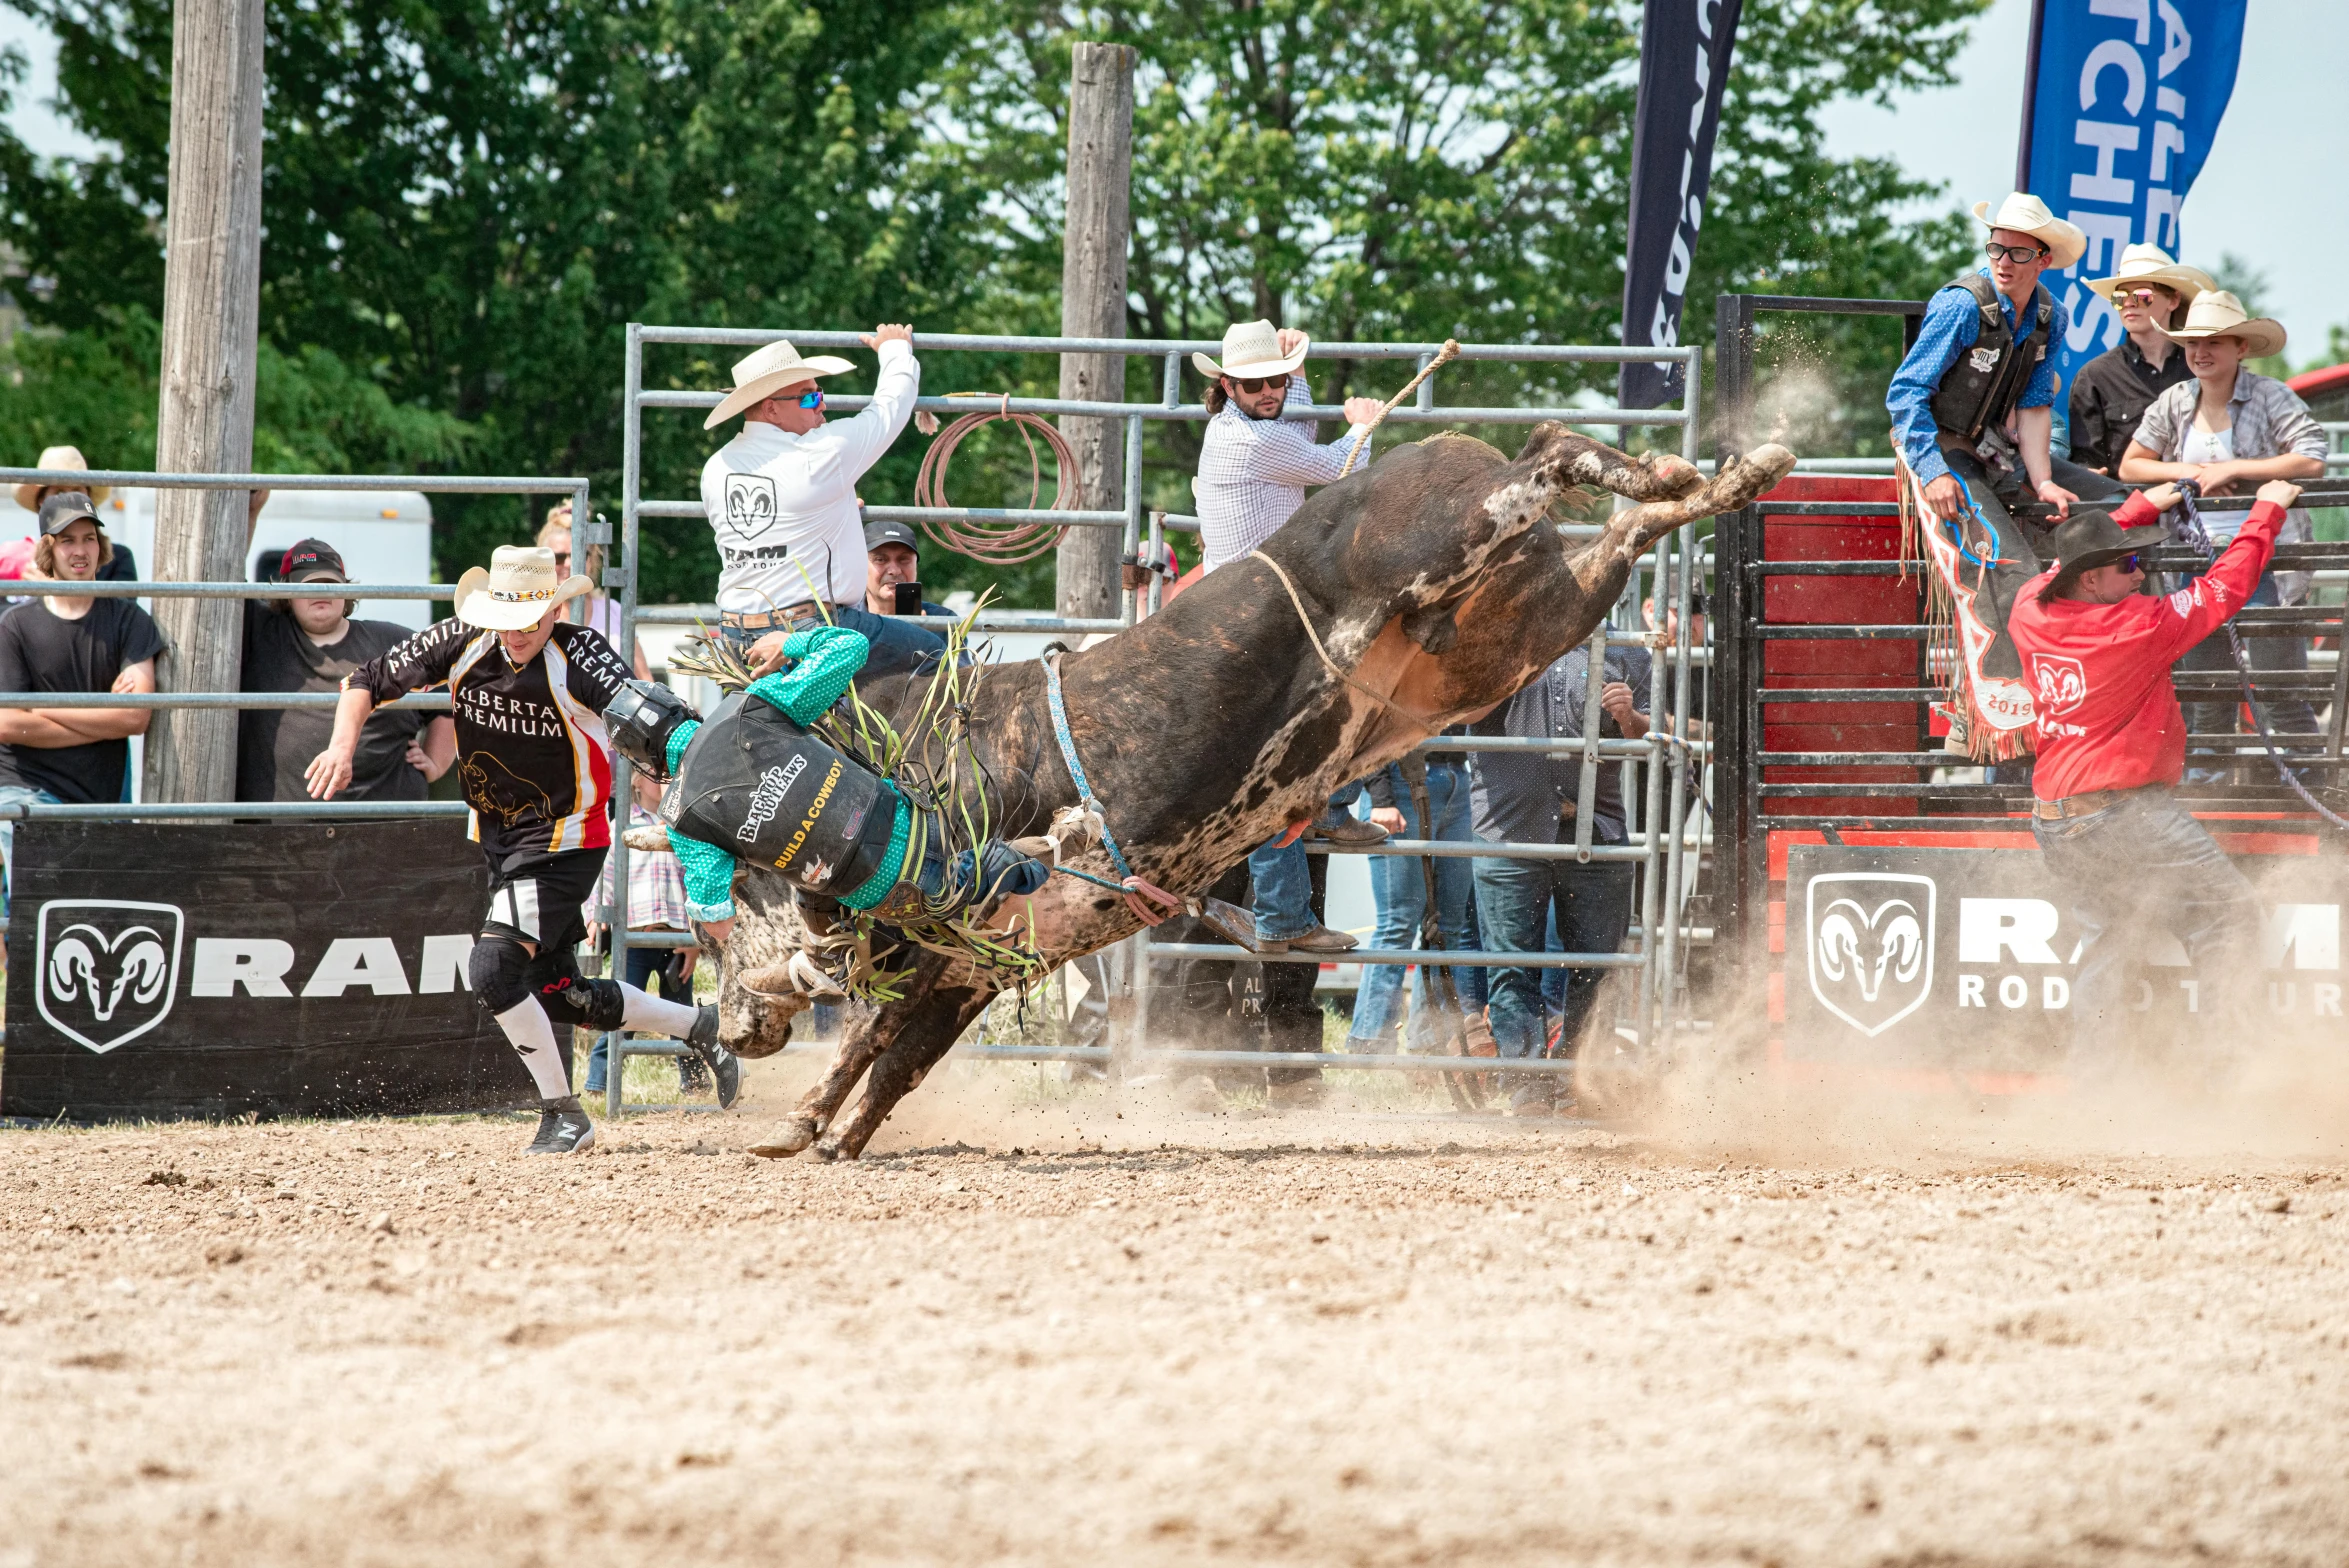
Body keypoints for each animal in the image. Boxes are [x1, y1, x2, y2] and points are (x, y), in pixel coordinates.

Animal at [704, 422, 1785, 1159]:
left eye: (716, 926)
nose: (735, 1029)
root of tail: (1428, 450)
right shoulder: (973, 963)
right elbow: (896, 1051)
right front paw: (823, 1133)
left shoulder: (953, 936)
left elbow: (874, 1033)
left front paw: (803, 1124)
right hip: (1518, 629)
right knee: (1618, 539)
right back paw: (1726, 474)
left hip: (1457, 537)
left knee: (1553, 452)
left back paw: (1684, 464)